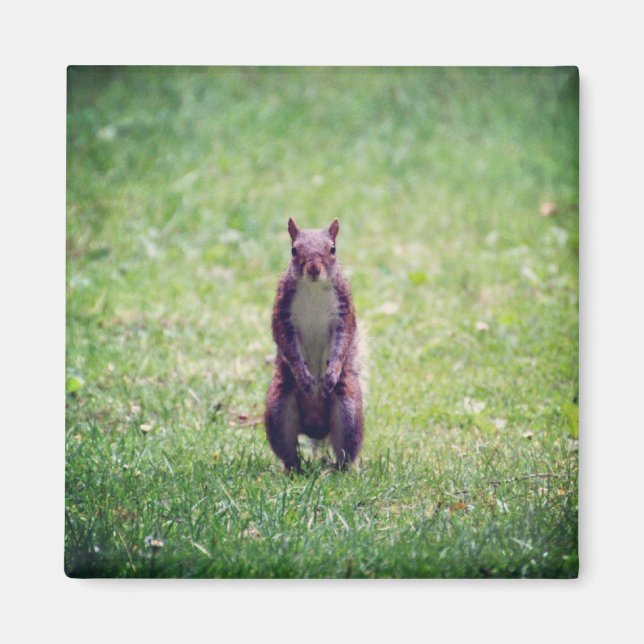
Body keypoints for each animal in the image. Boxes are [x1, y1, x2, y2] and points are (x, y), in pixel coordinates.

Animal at [264, 217, 364, 472]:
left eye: (333, 249)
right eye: (293, 250)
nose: (313, 268)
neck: (313, 287)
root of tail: (315, 427)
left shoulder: (343, 311)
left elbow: (343, 340)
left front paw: (331, 373)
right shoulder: (283, 314)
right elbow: (287, 345)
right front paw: (304, 376)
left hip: (348, 411)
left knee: (345, 452)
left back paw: (338, 472)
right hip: (278, 407)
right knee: (288, 451)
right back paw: (294, 471)